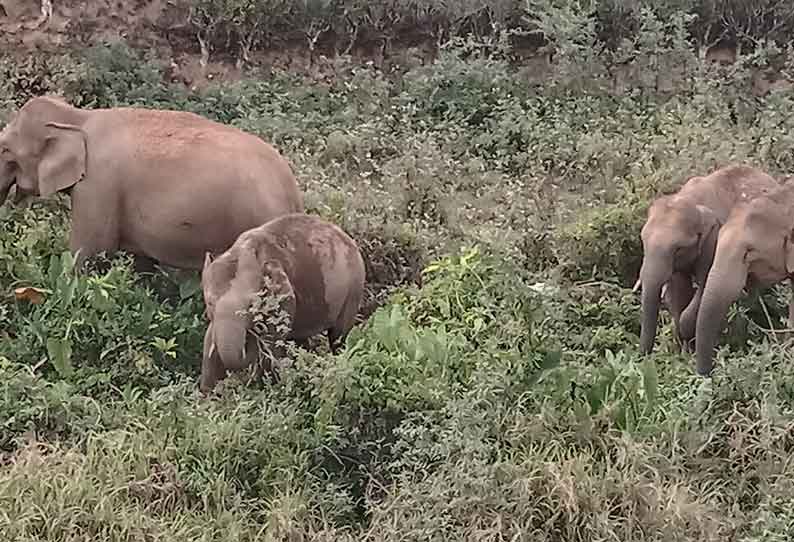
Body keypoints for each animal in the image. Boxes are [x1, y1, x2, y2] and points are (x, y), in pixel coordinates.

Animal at [198, 212, 366, 396]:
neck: (244, 251)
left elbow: (273, 342)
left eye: (251, 305)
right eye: (210, 303)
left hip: (353, 289)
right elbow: (208, 338)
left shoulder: (284, 298)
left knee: (339, 337)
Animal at [636, 164, 776, 354]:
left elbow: (703, 287)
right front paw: (685, 350)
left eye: (678, 249)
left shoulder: (714, 241)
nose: (643, 356)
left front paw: (686, 335)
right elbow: (678, 288)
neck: (691, 199)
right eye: (643, 240)